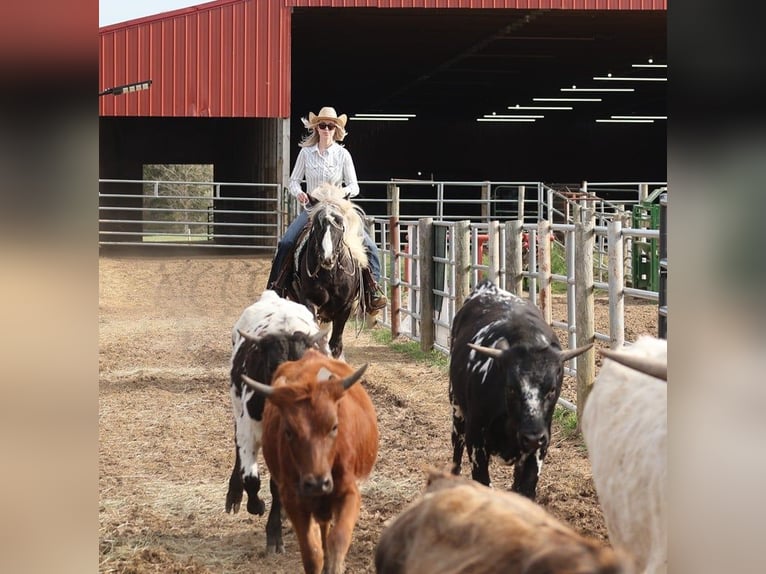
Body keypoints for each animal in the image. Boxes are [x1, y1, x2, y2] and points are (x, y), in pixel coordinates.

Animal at [243, 348, 380, 574]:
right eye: (289, 431)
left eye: (334, 426)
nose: (317, 483)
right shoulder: (293, 499)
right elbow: (312, 553)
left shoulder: (349, 493)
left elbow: (338, 539)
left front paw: (335, 565)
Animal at [284, 184, 372, 358]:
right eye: (317, 225)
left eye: (340, 223)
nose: (327, 257)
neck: (331, 275)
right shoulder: (309, 301)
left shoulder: (345, 307)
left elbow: (336, 346)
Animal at [448, 282, 592, 502]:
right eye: (511, 388)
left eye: (552, 389)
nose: (532, 437)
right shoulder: (476, 443)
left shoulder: (539, 449)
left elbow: (525, 489)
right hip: (457, 408)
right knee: (457, 445)